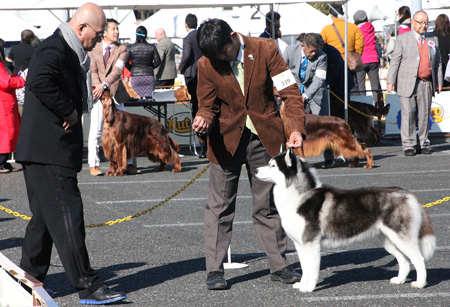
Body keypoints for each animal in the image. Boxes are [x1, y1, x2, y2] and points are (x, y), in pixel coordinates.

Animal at [256, 149, 436, 294]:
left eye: (272, 166)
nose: (256, 170)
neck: (299, 196)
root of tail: (408, 194)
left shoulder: (311, 244)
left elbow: (312, 269)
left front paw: (309, 287)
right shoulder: (300, 244)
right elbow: (305, 268)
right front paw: (301, 284)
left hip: (402, 239)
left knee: (418, 259)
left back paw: (420, 283)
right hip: (389, 240)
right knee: (404, 260)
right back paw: (399, 280)